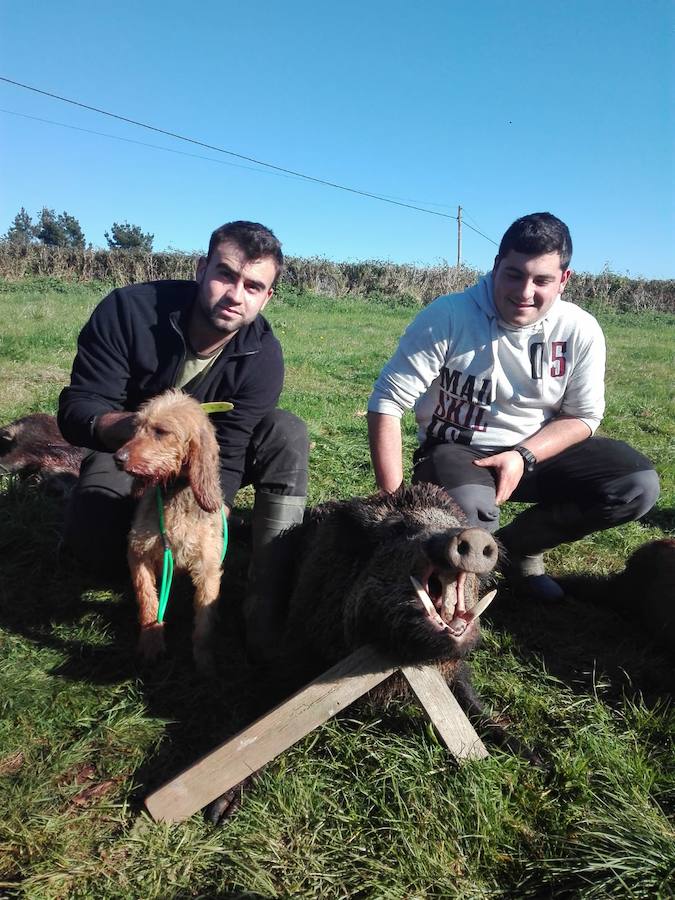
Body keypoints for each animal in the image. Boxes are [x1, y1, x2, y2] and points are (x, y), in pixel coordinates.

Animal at [113, 390, 224, 672]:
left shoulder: (208, 566)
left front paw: (204, 660)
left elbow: (205, 619)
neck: (176, 494)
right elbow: (148, 600)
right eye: (136, 427)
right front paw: (151, 642)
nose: (118, 458)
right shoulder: (138, 553)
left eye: (161, 431)